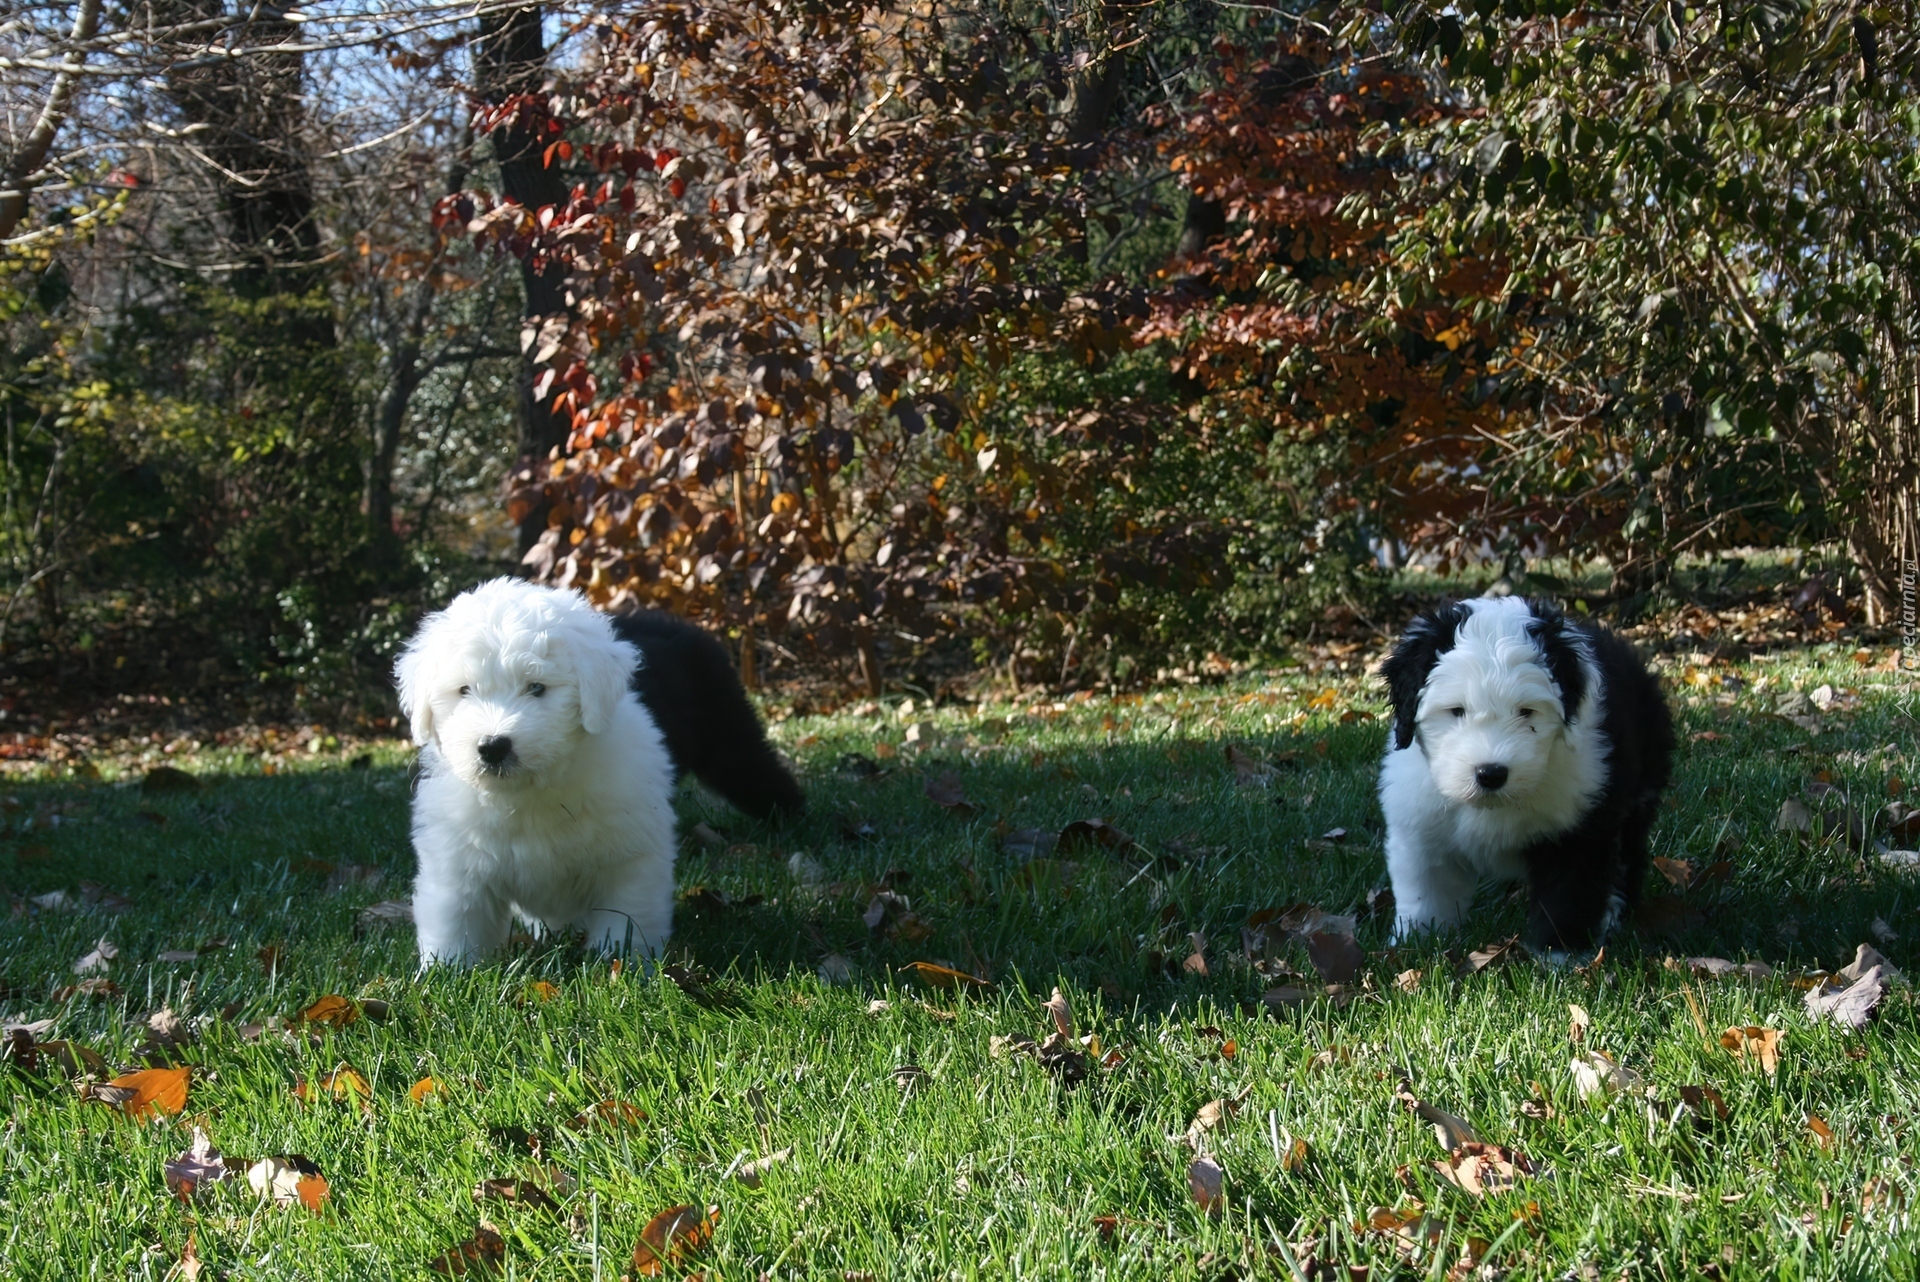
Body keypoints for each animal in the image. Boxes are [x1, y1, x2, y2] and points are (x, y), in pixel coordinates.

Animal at [397, 579, 683, 959]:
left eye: (536, 687)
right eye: (464, 690)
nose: (493, 747)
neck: (528, 793)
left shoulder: (629, 861)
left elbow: (625, 921)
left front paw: (619, 963)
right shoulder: (458, 867)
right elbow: (456, 925)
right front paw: (445, 968)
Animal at [1374, 598, 1674, 951]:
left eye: (1526, 712)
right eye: (1456, 711)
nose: (1490, 773)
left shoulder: (1579, 827)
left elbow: (1567, 897)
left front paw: (1558, 955)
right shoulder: (1421, 832)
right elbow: (1426, 896)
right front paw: (1414, 944)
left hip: (1638, 789)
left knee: (1628, 859)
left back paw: (1613, 917)